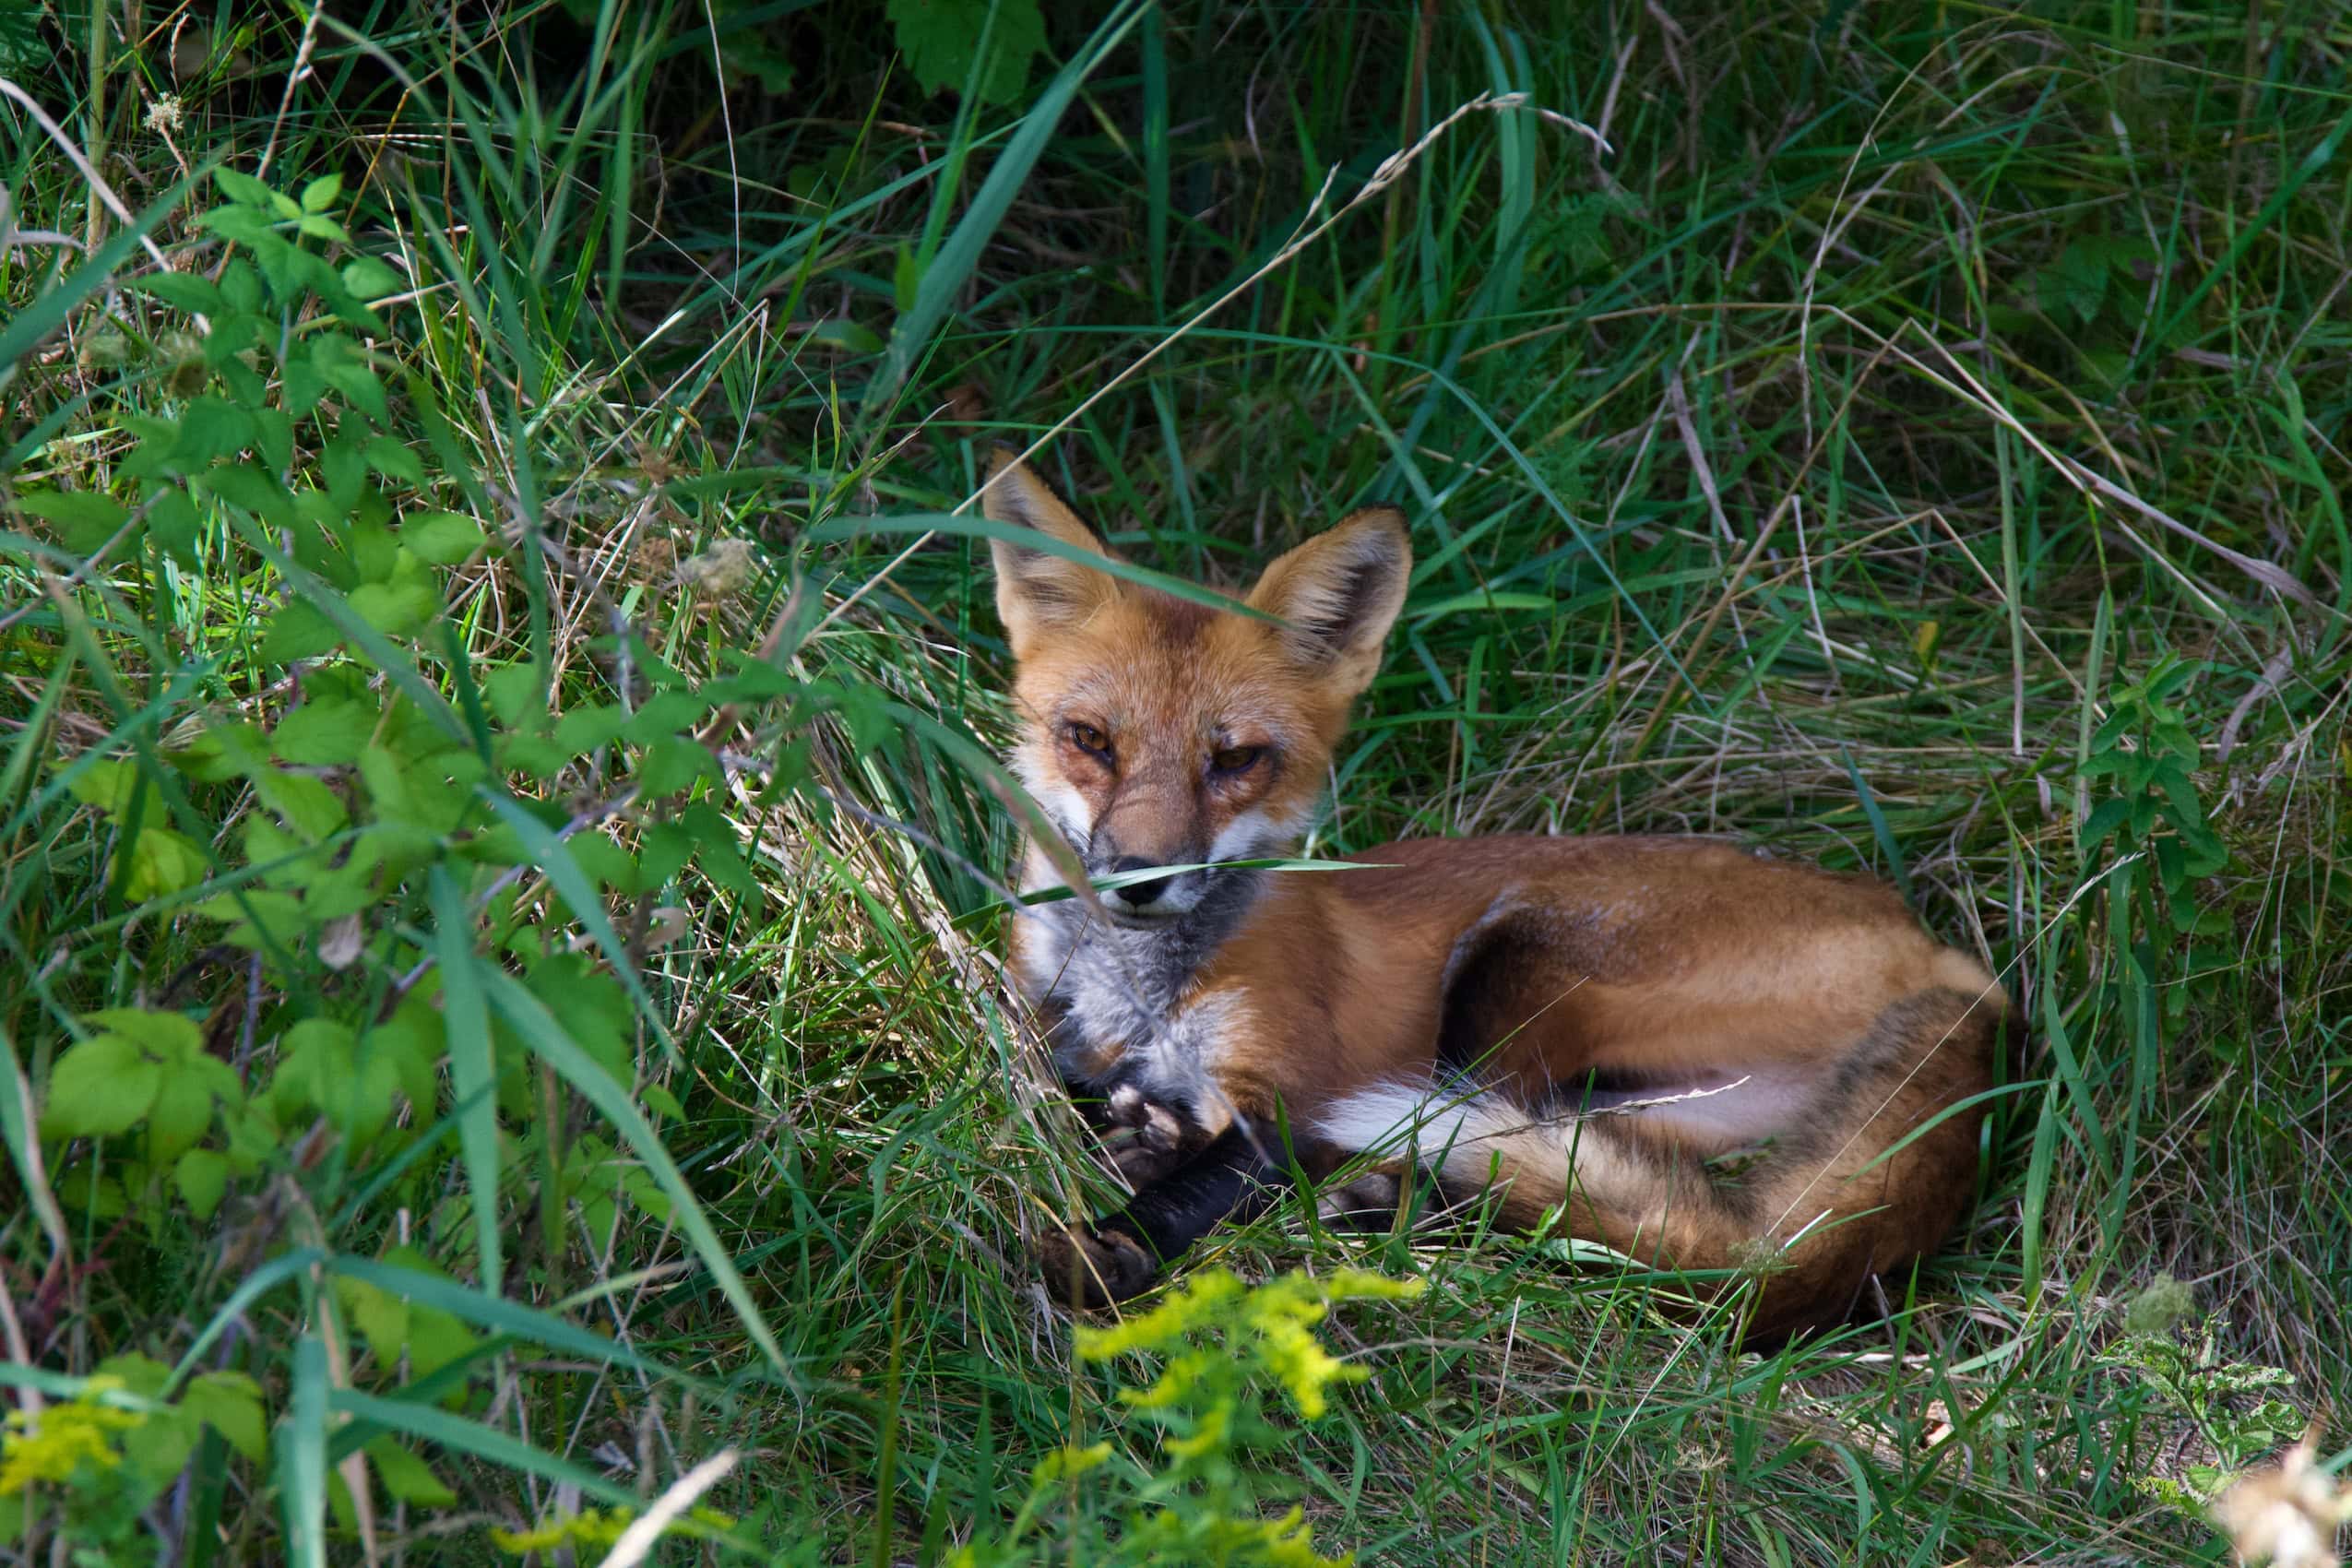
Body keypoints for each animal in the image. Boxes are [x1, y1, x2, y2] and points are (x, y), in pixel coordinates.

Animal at [983, 449, 2008, 1341]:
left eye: (1234, 760)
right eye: (1091, 739)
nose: (1139, 876)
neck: (1138, 1000)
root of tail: (1957, 959)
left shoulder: (1292, 1098)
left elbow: (1204, 1186)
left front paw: (1111, 1245)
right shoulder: (1050, 1041)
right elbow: (1088, 1099)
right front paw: (1134, 1150)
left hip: (1508, 967)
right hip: (1655, 1110)